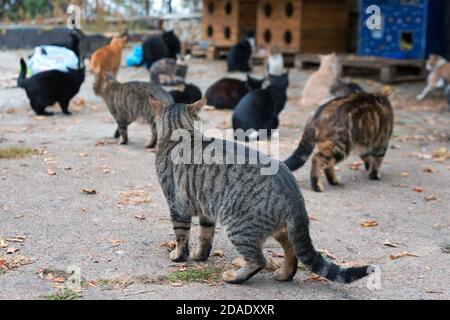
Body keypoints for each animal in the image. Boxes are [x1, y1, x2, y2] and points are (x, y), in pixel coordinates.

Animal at [149, 98, 370, 284]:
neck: (180, 136)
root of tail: (295, 197)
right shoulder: (206, 209)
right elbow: (205, 236)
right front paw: (199, 255)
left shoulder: (177, 205)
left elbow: (181, 236)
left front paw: (179, 256)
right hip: (281, 229)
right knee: (292, 251)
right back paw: (284, 274)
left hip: (238, 226)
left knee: (258, 260)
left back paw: (234, 277)